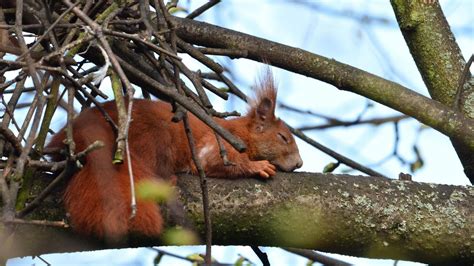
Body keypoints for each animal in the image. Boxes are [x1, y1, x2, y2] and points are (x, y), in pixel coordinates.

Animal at [46, 70, 302, 241]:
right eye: (283, 137)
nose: (300, 163)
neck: (240, 133)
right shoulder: (217, 144)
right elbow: (216, 162)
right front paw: (258, 166)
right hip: (152, 139)